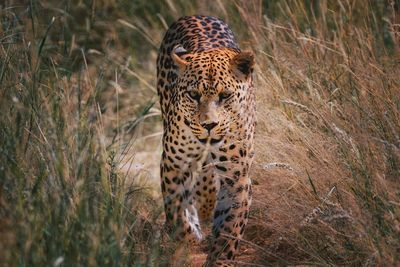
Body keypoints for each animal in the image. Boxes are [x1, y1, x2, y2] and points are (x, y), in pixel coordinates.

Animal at [157, 15, 256, 266]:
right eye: (193, 95)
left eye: (225, 96)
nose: (209, 125)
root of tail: (195, 15)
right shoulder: (174, 164)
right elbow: (176, 209)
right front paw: (187, 238)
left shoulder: (237, 177)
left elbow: (230, 228)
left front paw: (220, 259)